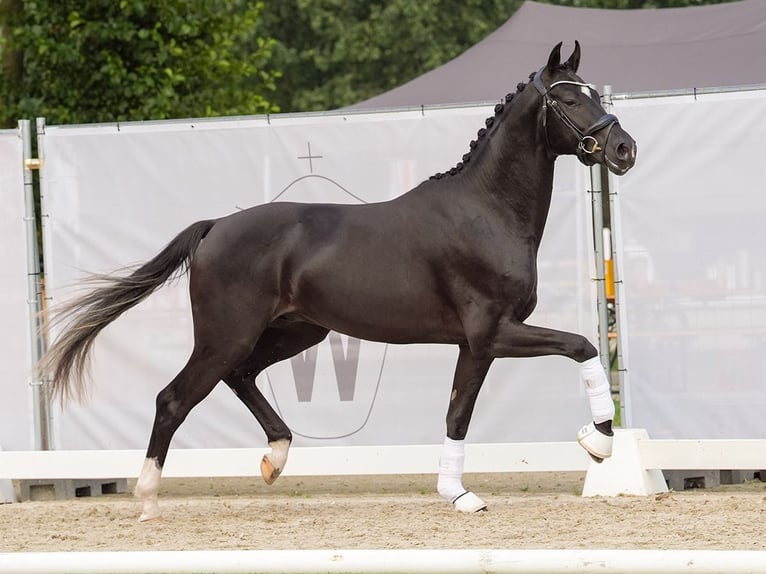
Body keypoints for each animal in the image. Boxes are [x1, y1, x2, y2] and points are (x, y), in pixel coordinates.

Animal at [39, 42, 636, 520]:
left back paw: (275, 459)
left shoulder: (475, 345)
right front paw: (599, 443)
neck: (486, 211)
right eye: (568, 99)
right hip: (225, 335)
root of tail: (215, 227)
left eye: (593, 93)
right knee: (173, 399)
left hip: (297, 331)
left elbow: (457, 414)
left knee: (240, 376)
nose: (624, 149)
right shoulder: (494, 332)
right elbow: (581, 346)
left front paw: (459, 495)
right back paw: (147, 499)